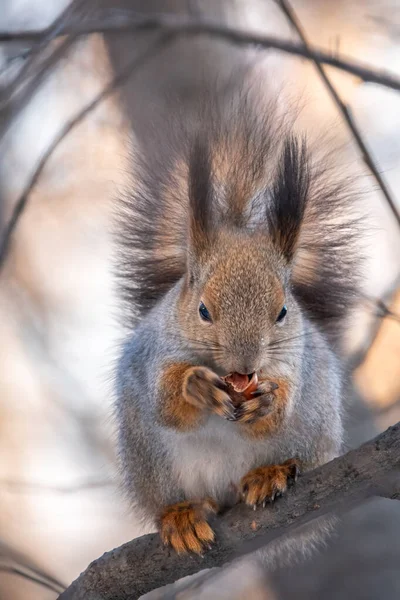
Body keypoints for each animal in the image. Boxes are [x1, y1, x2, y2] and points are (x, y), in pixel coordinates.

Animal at [114, 82, 360, 556]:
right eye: (202, 310)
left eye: (283, 311)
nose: (245, 367)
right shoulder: (156, 351)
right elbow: (167, 404)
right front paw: (194, 385)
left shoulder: (294, 359)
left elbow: (279, 407)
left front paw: (268, 401)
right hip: (150, 461)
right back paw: (182, 515)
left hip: (315, 431)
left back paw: (271, 473)